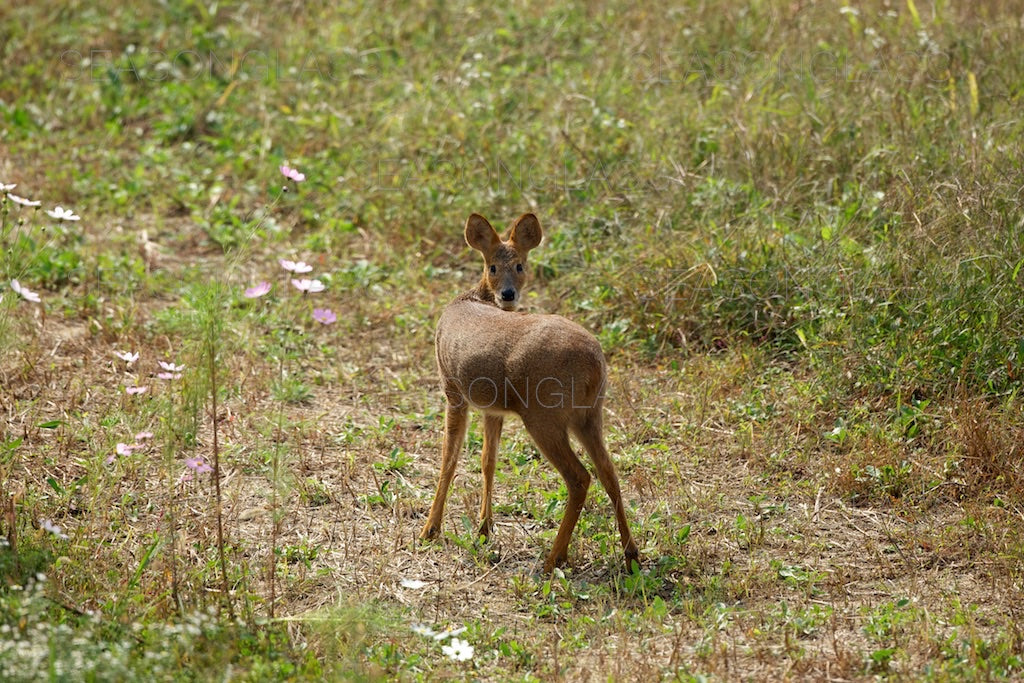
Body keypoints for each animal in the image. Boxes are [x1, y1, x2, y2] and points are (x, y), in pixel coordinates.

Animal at [419, 211, 634, 573]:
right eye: (493, 266)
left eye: (520, 265)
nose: (507, 294)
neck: (473, 298)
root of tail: (594, 362)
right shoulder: (493, 408)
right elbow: (488, 460)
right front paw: (483, 529)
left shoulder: (453, 389)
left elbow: (449, 459)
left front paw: (429, 530)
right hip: (589, 416)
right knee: (609, 472)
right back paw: (631, 554)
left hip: (543, 416)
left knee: (579, 478)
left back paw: (553, 559)